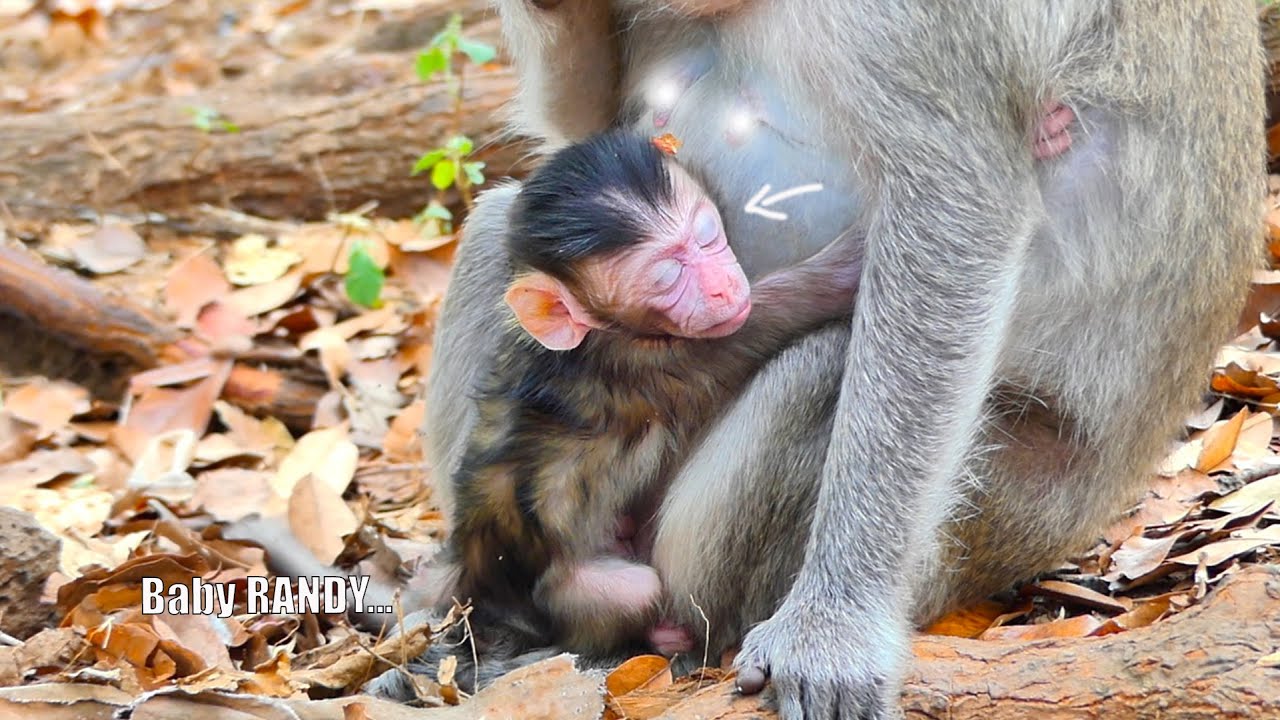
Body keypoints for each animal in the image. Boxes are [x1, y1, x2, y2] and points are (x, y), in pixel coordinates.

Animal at [446, 128, 860, 659]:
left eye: (706, 235)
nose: (722, 289)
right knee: (628, 595)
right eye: (667, 278)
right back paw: (662, 635)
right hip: (569, 594)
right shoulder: (652, 361)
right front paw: (853, 256)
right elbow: (780, 311)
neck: (594, 338)